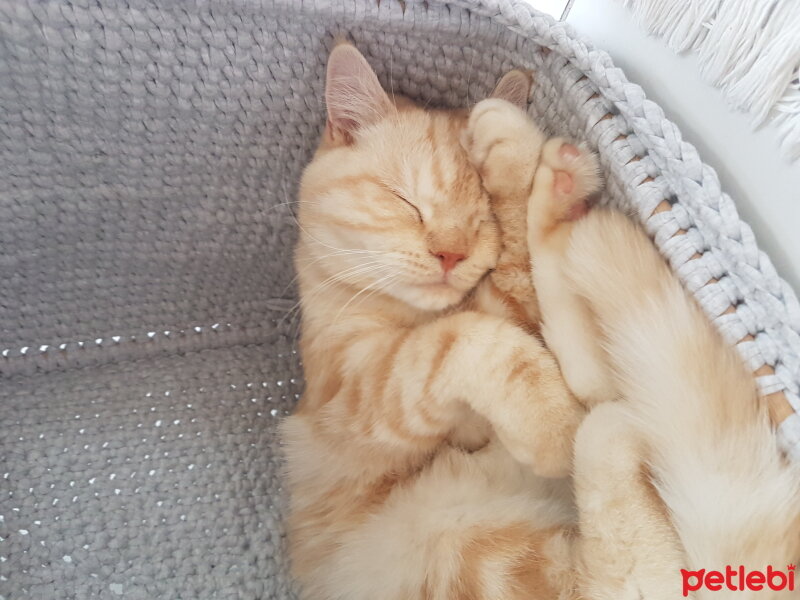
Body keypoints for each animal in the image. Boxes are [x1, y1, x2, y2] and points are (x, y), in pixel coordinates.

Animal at [282, 43, 800, 600]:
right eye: (407, 202)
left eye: (479, 216)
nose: (450, 254)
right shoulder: (353, 394)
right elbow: (465, 342)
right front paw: (549, 424)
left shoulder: (493, 309)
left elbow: (511, 277)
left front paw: (510, 161)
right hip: (467, 550)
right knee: (629, 557)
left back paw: (559, 193)